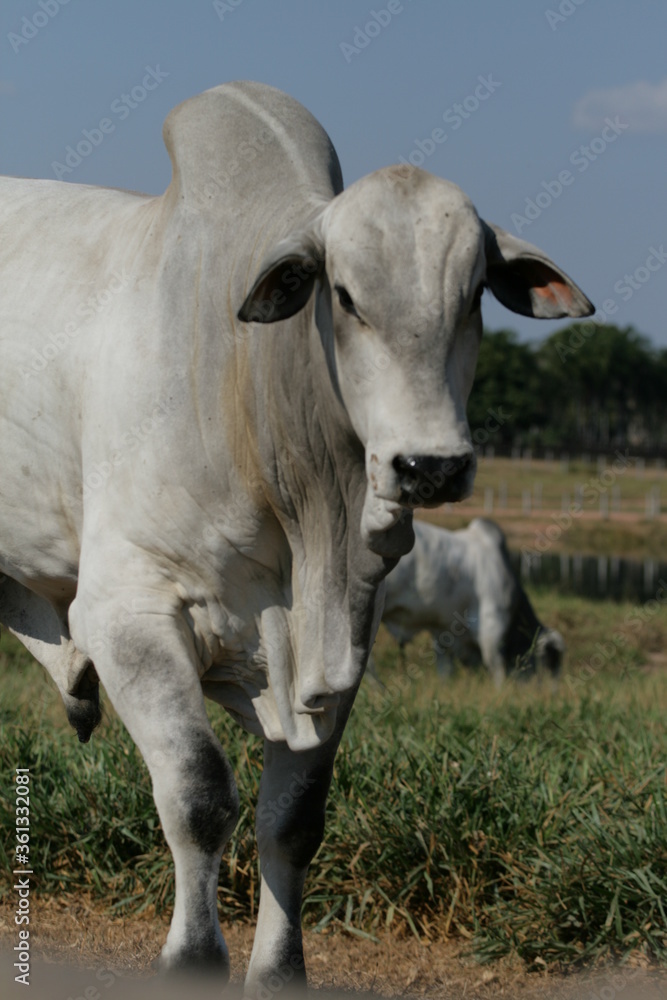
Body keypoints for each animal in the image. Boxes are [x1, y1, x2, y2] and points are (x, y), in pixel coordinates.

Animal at [384, 516, 568, 688]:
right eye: (552, 661)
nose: (554, 693)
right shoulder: (491, 630)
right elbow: (498, 673)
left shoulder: (442, 634)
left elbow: (444, 671)